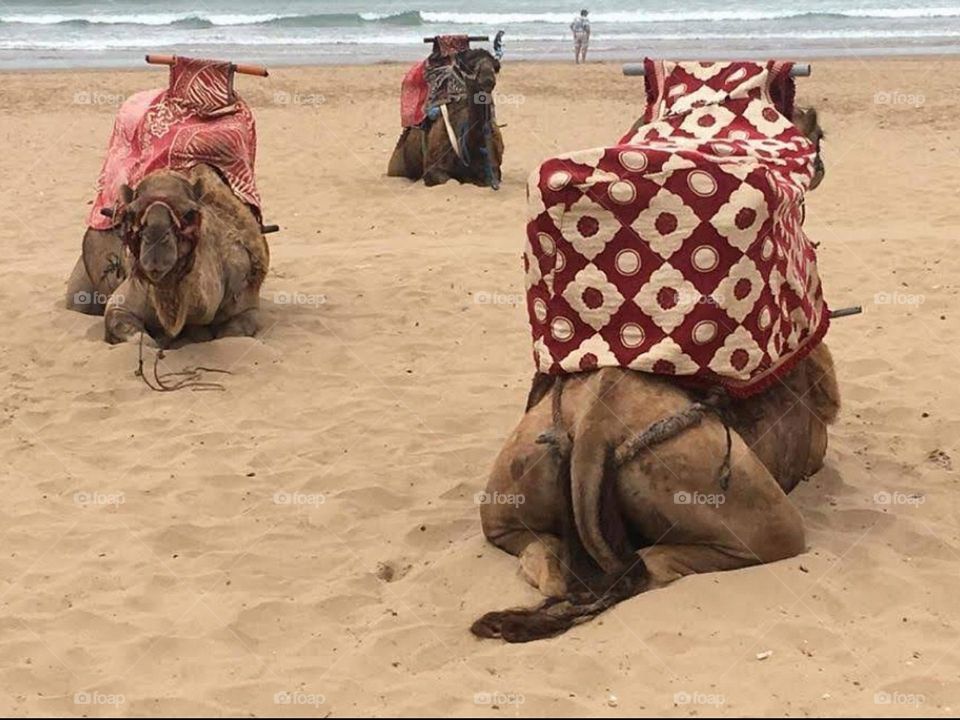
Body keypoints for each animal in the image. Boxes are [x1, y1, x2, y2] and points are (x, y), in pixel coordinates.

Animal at [66, 163, 268, 344]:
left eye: (190, 213)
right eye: (131, 213)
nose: (156, 240)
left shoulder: (245, 301)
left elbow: (231, 335)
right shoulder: (125, 299)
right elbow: (141, 339)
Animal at [387, 48, 504, 188]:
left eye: (495, 67)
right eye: (470, 66)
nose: (487, 78)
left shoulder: (494, 168)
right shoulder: (433, 168)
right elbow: (445, 179)